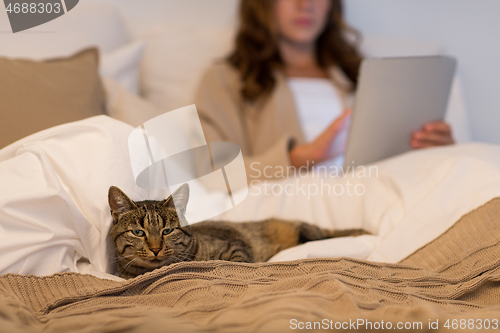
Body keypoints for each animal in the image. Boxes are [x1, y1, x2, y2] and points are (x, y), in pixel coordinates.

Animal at [108, 184, 368, 278]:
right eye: (138, 233)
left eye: (167, 231)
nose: (155, 249)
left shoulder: (235, 248)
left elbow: (233, 265)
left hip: (311, 232)